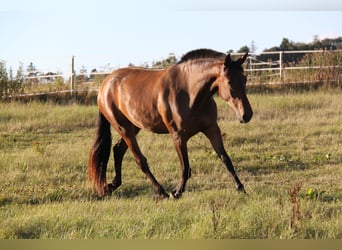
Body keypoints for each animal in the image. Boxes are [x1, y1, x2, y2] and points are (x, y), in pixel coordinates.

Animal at [89, 47, 251, 198]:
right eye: (229, 82)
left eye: (245, 79)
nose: (247, 115)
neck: (189, 93)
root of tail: (105, 85)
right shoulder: (178, 136)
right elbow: (185, 167)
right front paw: (177, 192)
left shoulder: (212, 129)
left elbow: (226, 159)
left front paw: (241, 188)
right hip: (124, 128)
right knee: (140, 160)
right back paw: (161, 192)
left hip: (133, 126)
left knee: (118, 150)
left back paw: (112, 186)